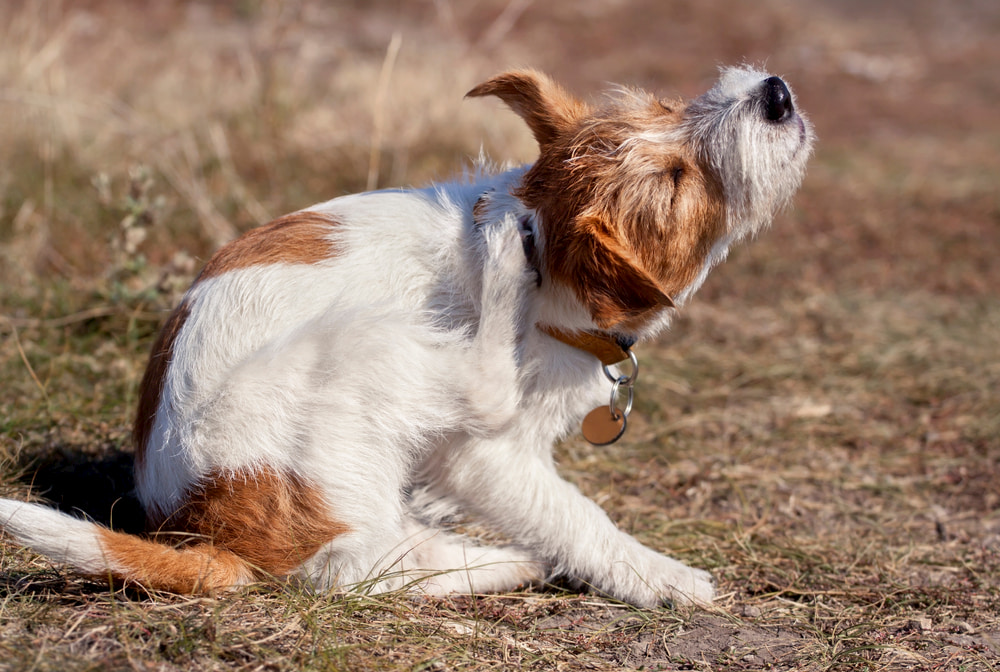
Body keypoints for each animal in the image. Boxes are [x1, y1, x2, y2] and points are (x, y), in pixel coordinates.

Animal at [0, 65, 812, 608]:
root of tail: (208, 531)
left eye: (668, 106)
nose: (775, 92)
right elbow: (574, 514)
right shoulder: (486, 457)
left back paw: (498, 559)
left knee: (384, 557)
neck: (550, 255)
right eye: (676, 179)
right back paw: (499, 263)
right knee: (355, 565)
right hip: (363, 345)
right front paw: (662, 576)